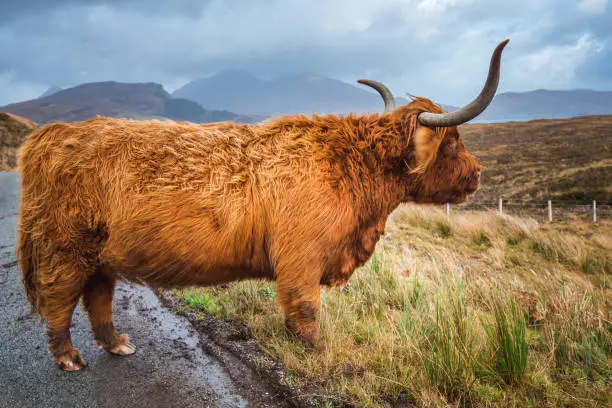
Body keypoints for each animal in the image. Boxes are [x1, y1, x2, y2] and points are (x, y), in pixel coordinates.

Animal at [17, 40, 506, 370]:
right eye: (452, 141)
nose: (478, 174)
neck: (352, 168)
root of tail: (50, 136)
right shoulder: (301, 259)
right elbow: (305, 309)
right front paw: (317, 352)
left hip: (100, 252)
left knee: (97, 294)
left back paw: (116, 342)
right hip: (66, 246)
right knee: (60, 296)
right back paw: (69, 356)